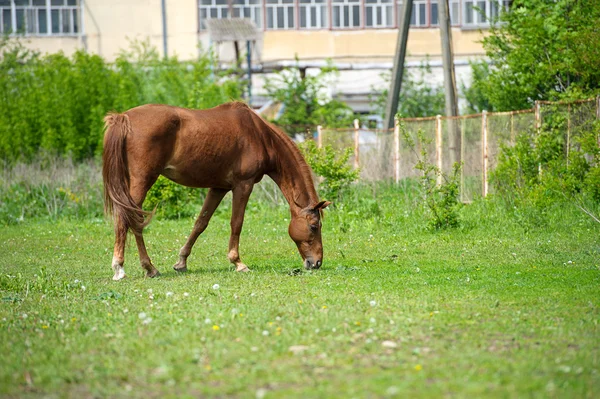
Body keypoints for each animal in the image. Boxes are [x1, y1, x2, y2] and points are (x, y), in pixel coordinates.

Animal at [101, 101, 330, 280]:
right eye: (314, 226)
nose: (316, 263)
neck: (260, 135)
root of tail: (123, 118)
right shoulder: (243, 185)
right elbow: (236, 223)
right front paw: (238, 262)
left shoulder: (219, 188)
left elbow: (200, 223)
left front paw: (181, 262)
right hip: (143, 180)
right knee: (128, 219)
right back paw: (128, 268)